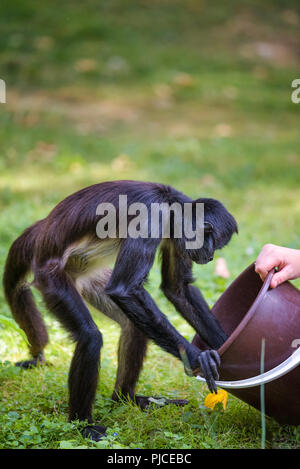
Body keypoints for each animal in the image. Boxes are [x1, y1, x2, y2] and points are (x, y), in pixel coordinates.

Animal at [2, 179, 237, 438]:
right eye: (212, 242)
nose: (211, 256)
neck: (170, 204)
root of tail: (42, 234)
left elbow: (176, 288)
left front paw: (226, 345)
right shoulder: (151, 217)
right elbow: (124, 290)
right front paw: (198, 359)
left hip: (87, 277)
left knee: (133, 327)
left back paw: (127, 398)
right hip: (52, 278)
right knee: (90, 337)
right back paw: (83, 425)